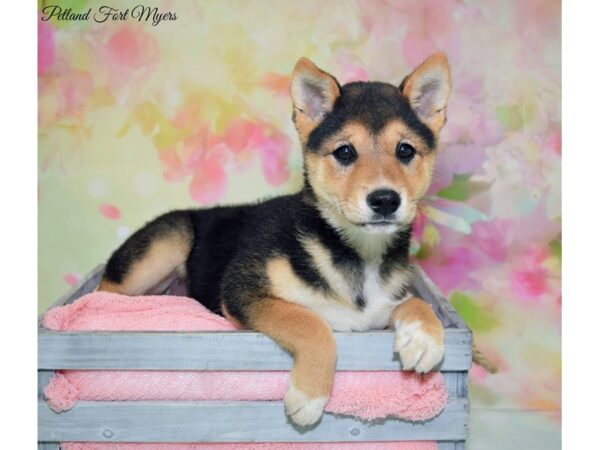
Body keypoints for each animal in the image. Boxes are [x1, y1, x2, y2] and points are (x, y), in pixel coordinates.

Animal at [101, 52, 452, 426]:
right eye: (344, 152)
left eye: (405, 150)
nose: (385, 200)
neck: (355, 252)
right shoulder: (244, 290)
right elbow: (310, 322)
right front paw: (309, 395)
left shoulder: (379, 309)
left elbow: (416, 303)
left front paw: (425, 339)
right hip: (166, 243)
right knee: (102, 294)